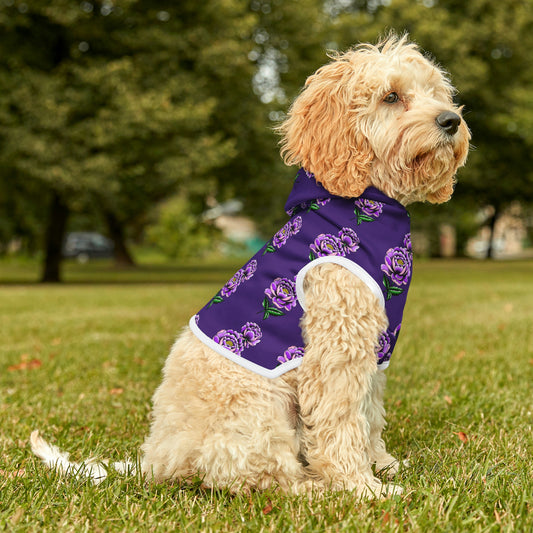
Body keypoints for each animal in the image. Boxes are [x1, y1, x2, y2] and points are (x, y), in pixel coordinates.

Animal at [31, 35, 468, 496]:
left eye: (435, 92)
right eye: (391, 96)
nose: (451, 120)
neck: (365, 205)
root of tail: (156, 460)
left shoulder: (374, 351)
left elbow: (369, 415)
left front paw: (382, 464)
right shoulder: (336, 348)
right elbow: (342, 421)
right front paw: (361, 487)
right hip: (259, 408)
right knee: (259, 476)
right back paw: (313, 486)